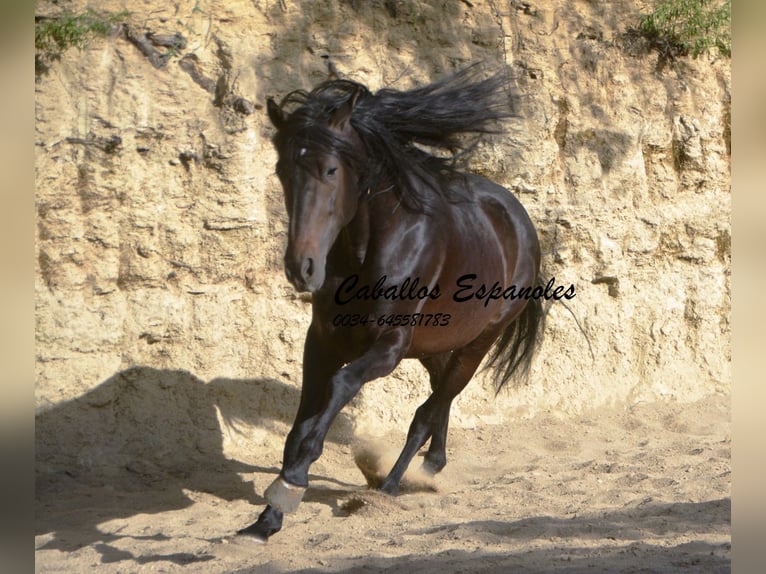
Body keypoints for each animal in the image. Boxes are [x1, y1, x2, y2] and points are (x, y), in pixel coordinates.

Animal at [240, 67, 544, 544]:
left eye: (330, 169)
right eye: (281, 171)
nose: (301, 268)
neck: (367, 248)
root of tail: (521, 222)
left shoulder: (388, 347)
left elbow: (338, 391)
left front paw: (291, 486)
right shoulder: (322, 342)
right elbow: (298, 424)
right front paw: (267, 517)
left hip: (479, 340)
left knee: (432, 406)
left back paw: (391, 486)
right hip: (434, 343)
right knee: (440, 393)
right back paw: (431, 466)